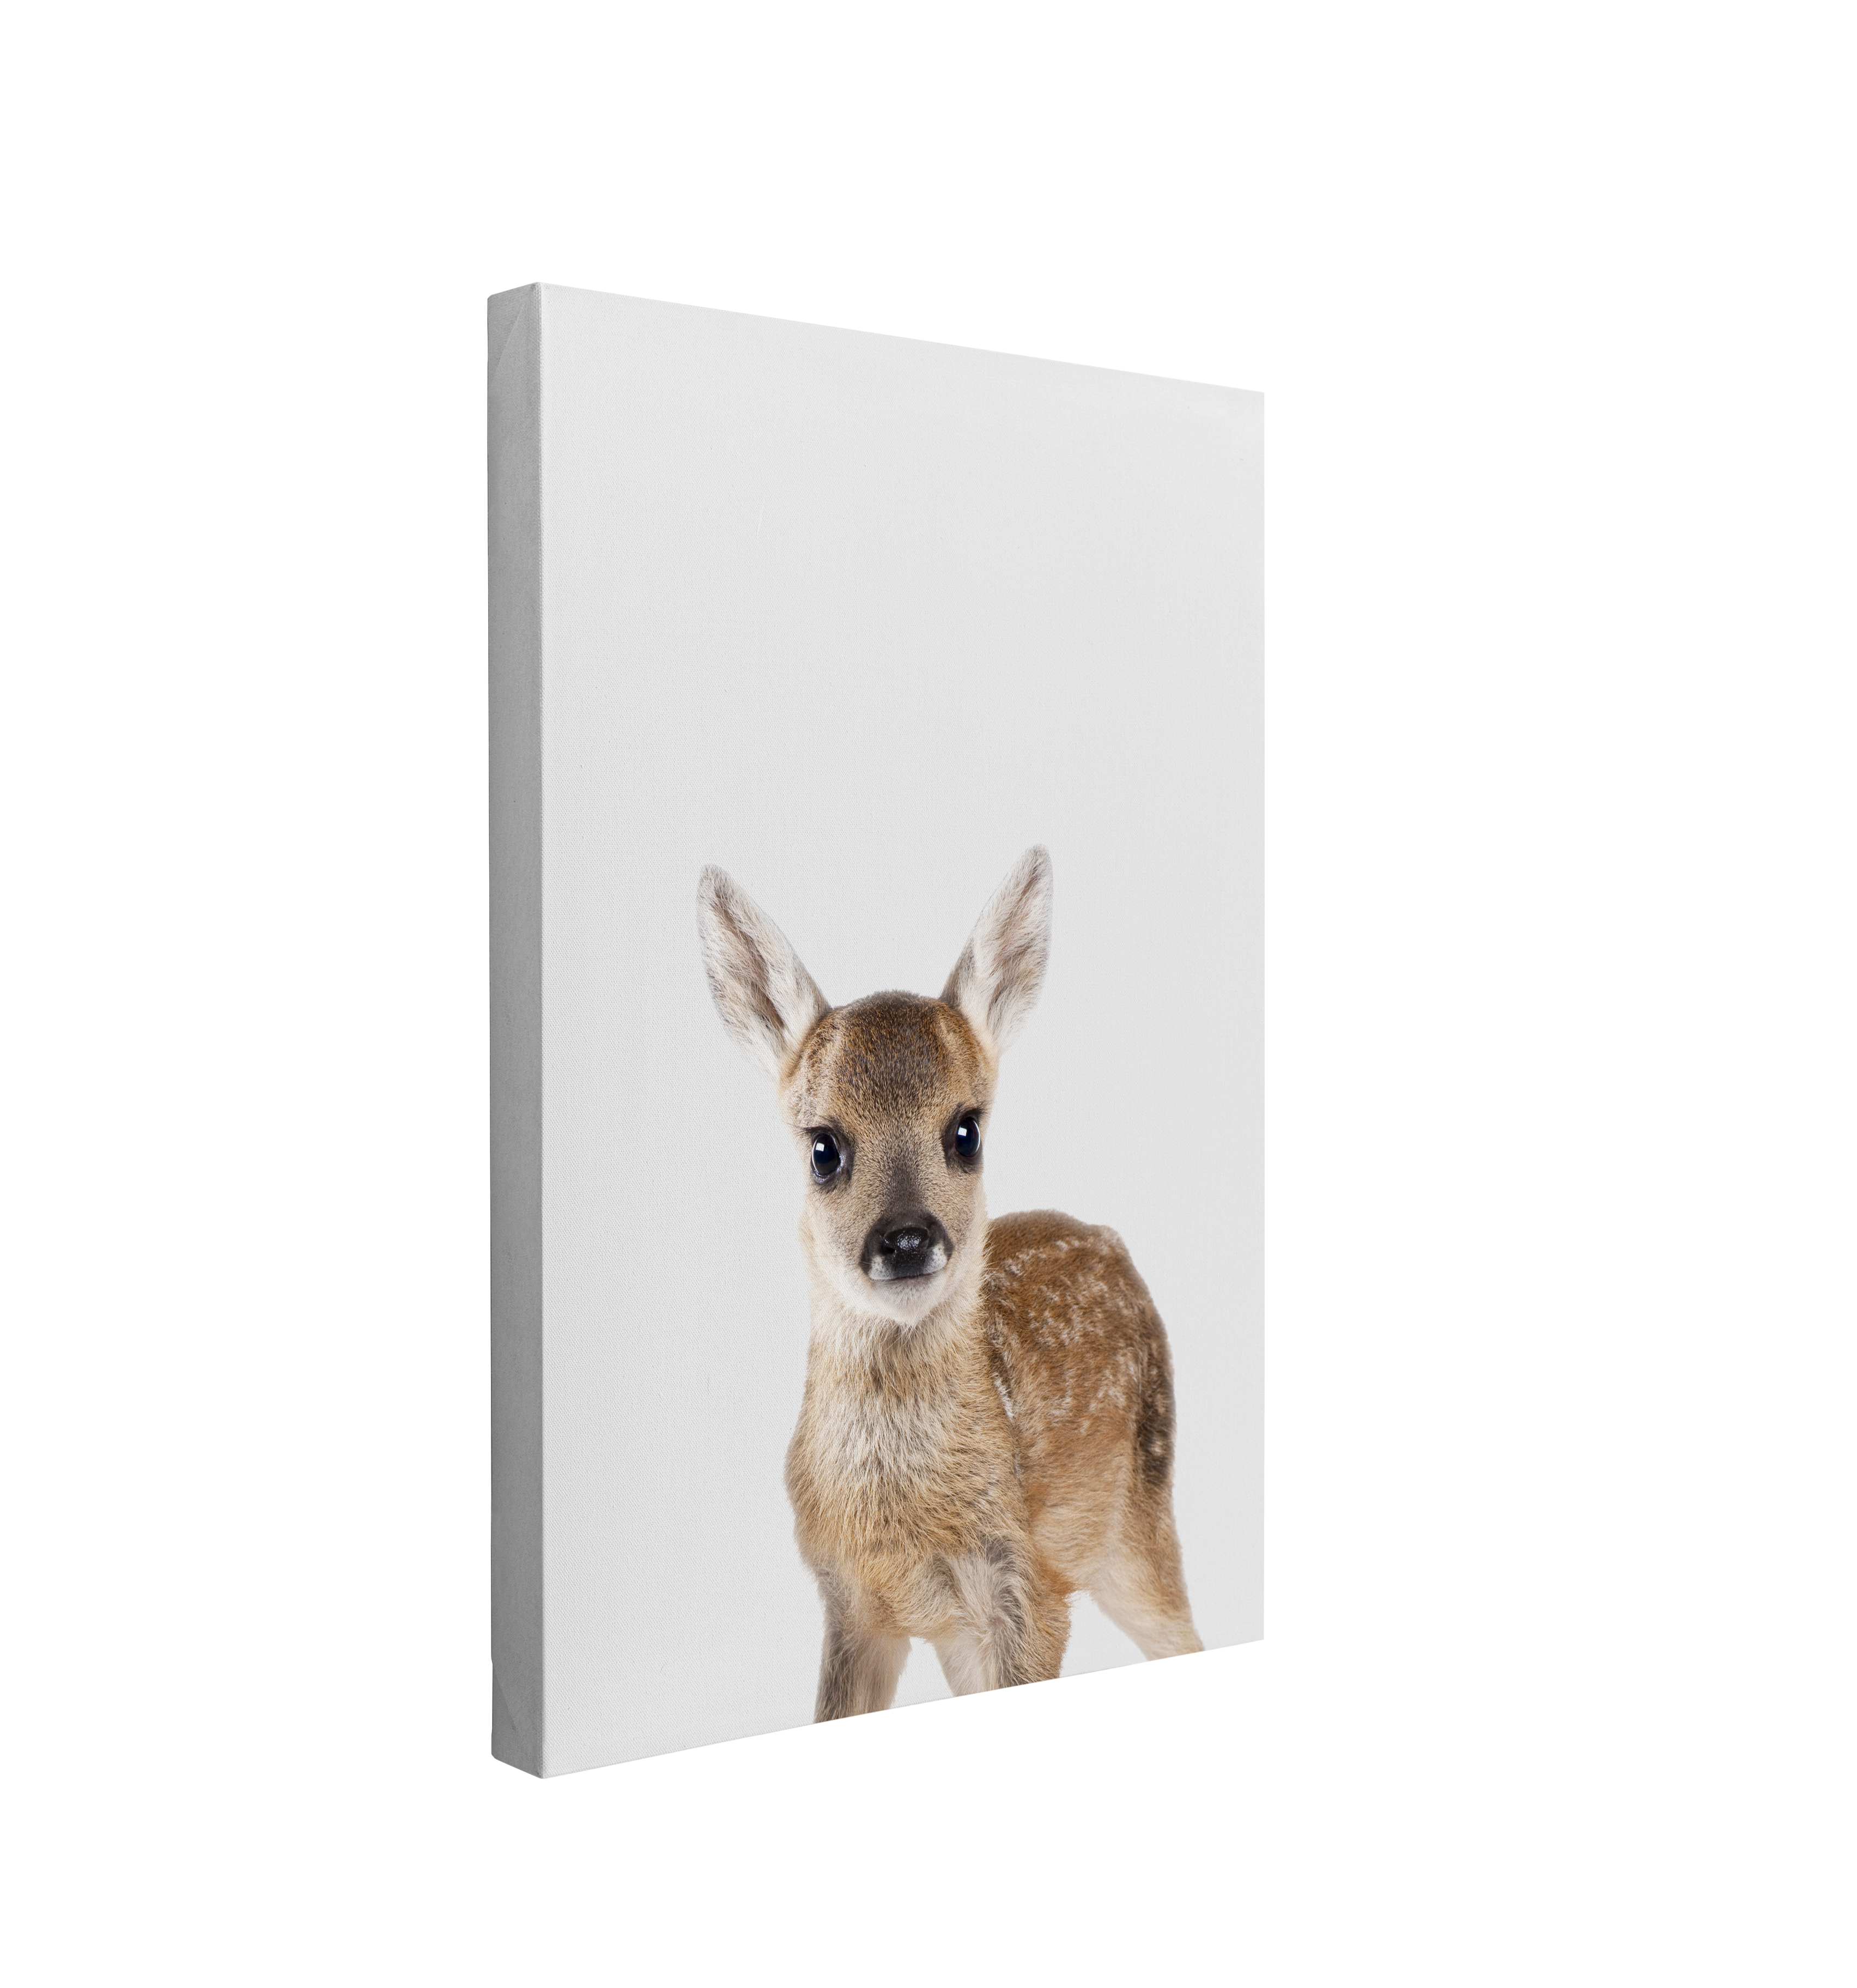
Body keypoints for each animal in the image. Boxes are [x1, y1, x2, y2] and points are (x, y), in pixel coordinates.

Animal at [697, 846, 1201, 1722]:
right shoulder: (851, 1603)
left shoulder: (1026, 1587)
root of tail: (1112, 1241)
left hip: (1140, 1512)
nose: (905, 1238)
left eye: (966, 1131)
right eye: (823, 1148)